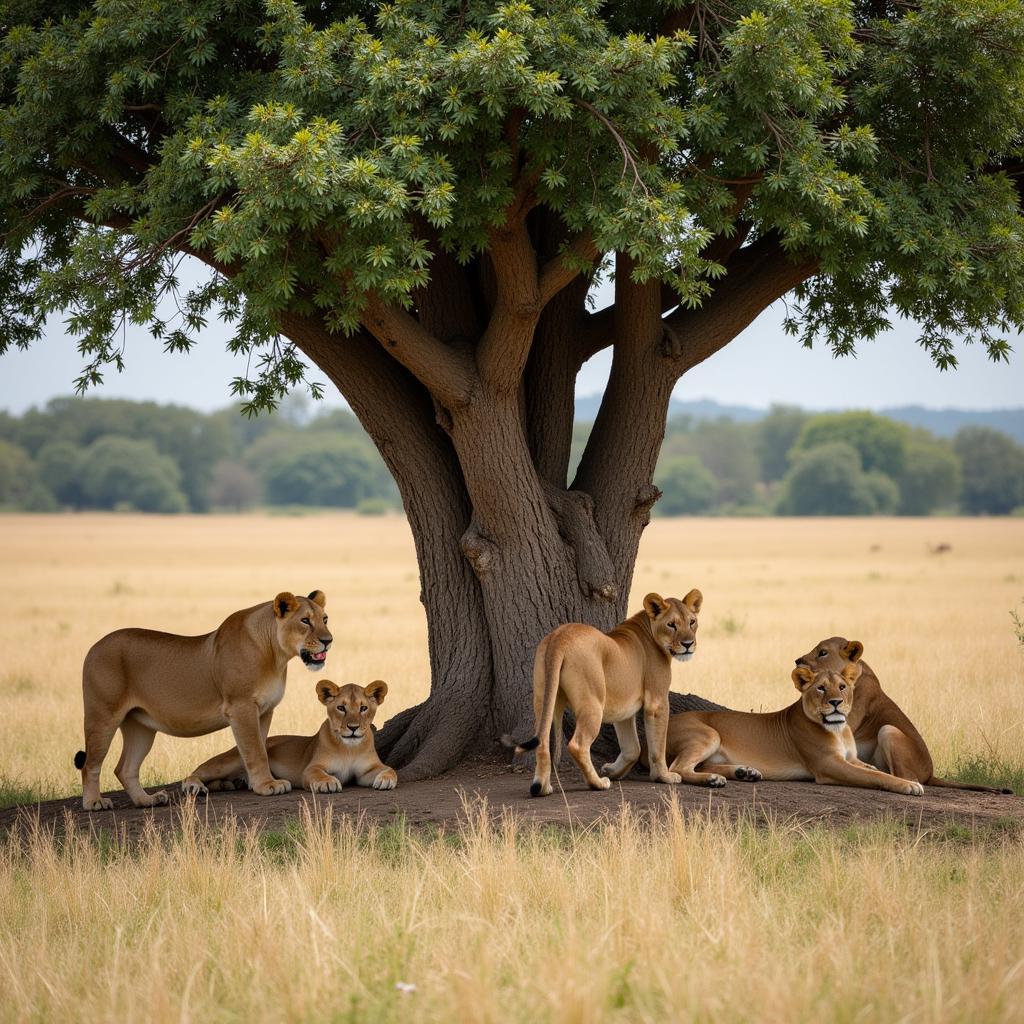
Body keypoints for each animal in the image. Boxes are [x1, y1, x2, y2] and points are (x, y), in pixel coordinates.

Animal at [75, 589, 331, 811]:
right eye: (305, 621)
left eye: (325, 619)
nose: (328, 640)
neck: (275, 655)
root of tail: (94, 646)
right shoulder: (241, 707)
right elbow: (255, 751)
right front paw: (267, 785)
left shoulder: (265, 710)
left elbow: (260, 746)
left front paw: (254, 783)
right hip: (102, 716)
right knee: (90, 765)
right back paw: (94, 803)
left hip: (140, 726)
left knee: (124, 768)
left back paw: (147, 800)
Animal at [182, 679, 397, 798]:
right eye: (341, 708)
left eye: (363, 708)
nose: (353, 728)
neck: (349, 748)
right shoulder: (310, 768)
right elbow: (318, 774)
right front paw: (328, 783)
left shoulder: (365, 771)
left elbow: (390, 769)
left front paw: (385, 781)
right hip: (232, 759)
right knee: (196, 772)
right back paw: (194, 786)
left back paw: (230, 784)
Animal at [507, 593, 700, 798]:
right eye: (671, 625)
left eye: (692, 622)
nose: (688, 644)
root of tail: (560, 636)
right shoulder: (657, 701)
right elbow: (658, 746)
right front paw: (664, 776)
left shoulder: (624, 709)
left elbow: (632, 747)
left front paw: (613, 771)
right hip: (592, 703)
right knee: (577, 745)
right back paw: (598, 783)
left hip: (543, 696)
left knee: (542, 740)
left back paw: (542, 788)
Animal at [663, 659, 929, 794]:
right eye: (821, 688)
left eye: (842, 687)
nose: (836, 702)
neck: (838, 730)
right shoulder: (829, 765)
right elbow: (874, 776)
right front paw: (909, 785)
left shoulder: (851, 759)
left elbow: (875, 769)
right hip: (709, 734)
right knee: (679, 768)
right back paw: (713, 780)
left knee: (701, 765)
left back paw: (744, 772)